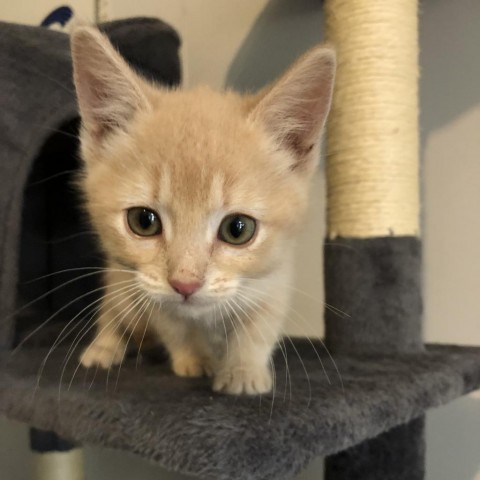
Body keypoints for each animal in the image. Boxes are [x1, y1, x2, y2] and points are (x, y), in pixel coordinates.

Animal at [71, 25, 334, 394]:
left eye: (238, 229)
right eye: (143, 221)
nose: (185, 284)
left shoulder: (275, 279)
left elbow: (259, 327)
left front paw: (243, 371)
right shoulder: (150, 292)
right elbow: (175, 327)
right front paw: (195, 360)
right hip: (122, 281)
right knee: (113, 308)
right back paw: (104, 347)